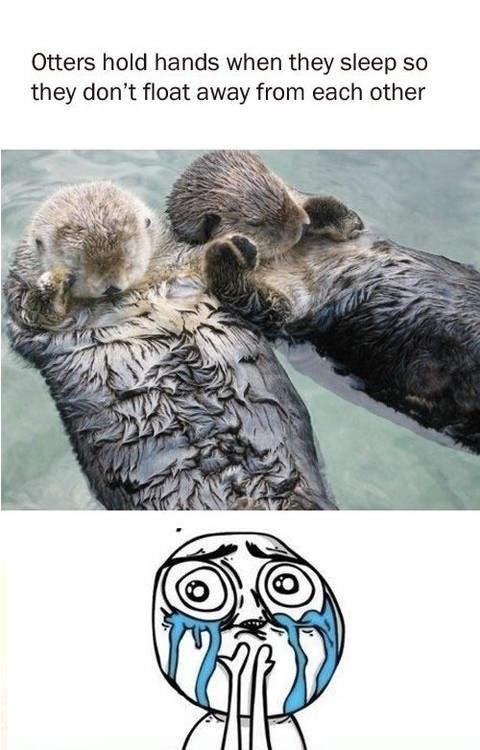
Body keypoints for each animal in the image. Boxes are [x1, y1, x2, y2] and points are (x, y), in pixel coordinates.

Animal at [4, 181, 335, 511]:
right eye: (77, 265)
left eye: (130, 254)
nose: (111, 286)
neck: (138, 290)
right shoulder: (26, 315)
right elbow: (35, 313)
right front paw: (53, 282)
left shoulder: (183, 267)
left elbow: (264, 302)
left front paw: (238, 245)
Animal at [166, 151, 480, 452]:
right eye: (256, 222)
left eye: (281, 188)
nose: (300, 224)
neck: (292, 254)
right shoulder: (282, 310)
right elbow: (251, 298)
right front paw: (230, 248)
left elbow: (350, 219)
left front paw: (317, 211)